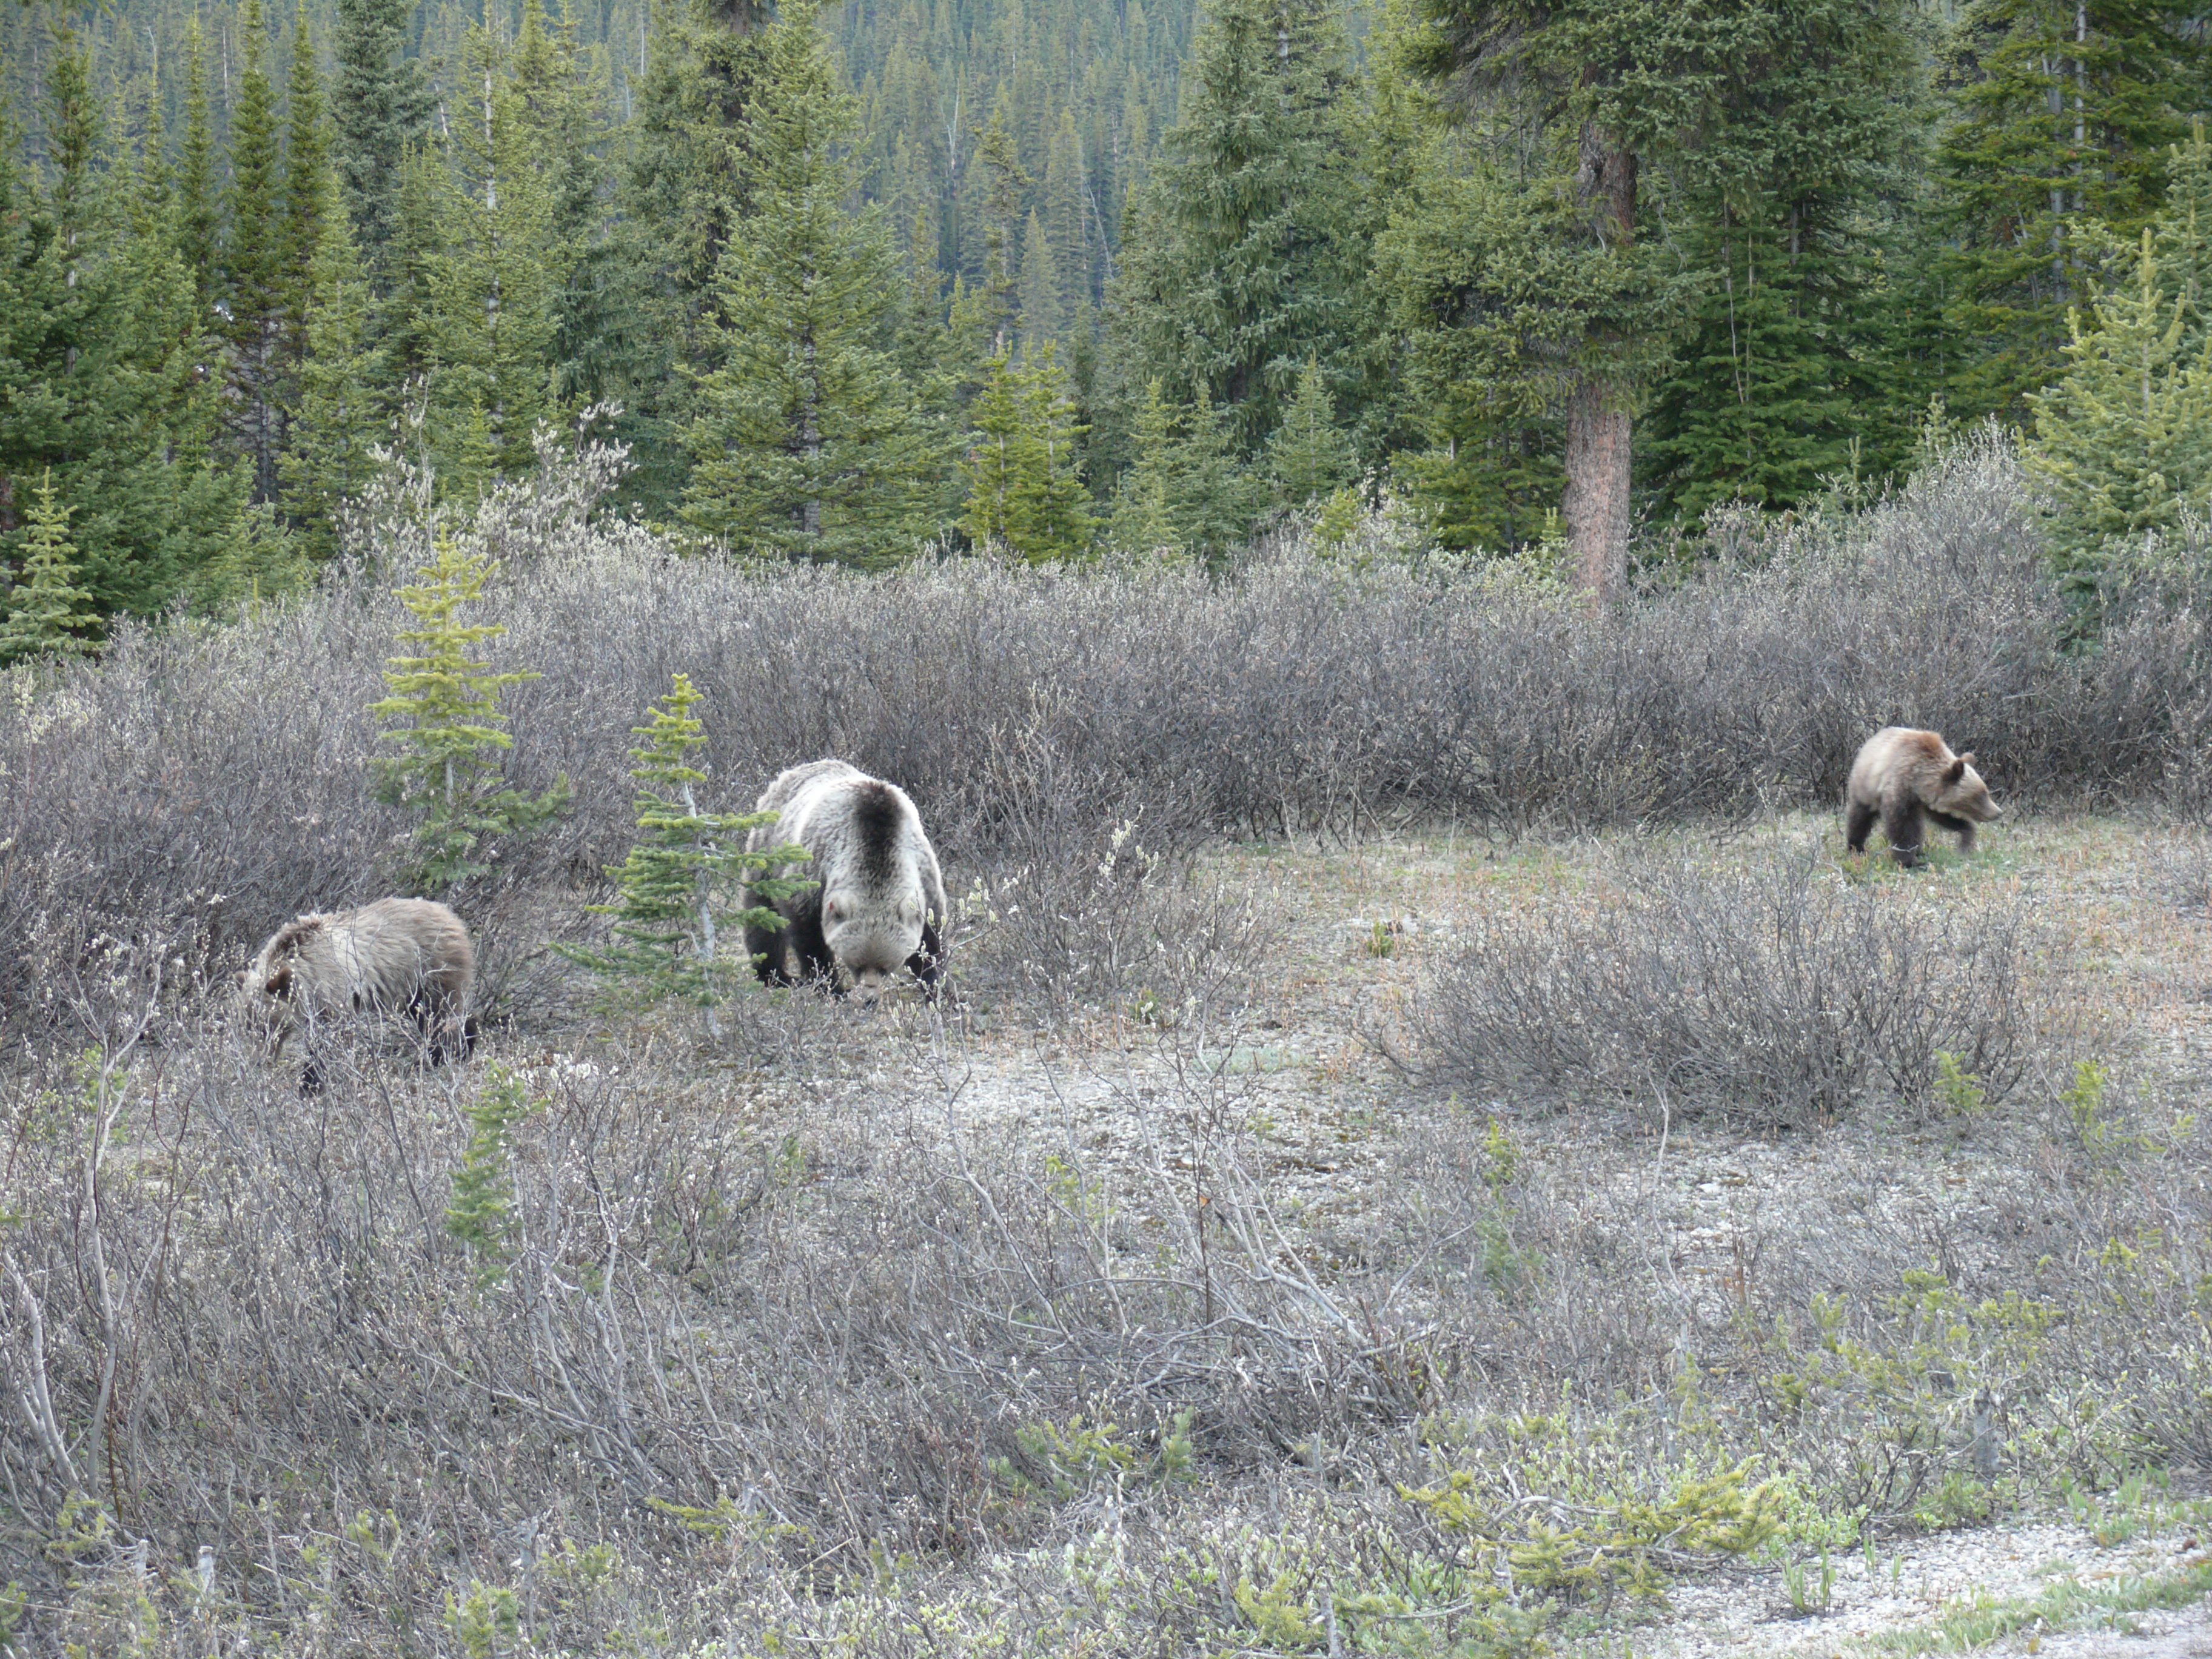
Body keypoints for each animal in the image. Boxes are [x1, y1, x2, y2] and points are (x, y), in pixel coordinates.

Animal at [240, 898, 477, 1093]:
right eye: (248, 1026)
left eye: (267, 1025)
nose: (257, 1061)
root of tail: (451, 915)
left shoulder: (331, 986)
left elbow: (332, 1038)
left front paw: (310, 1084)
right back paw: (466, 1042)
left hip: (431, 967)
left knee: (439, 1014)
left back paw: (435, 1058)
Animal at [748, 765, 947, 1008]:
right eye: (857, 964)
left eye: (885, 967)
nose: (870, 999)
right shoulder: (815, 871)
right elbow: (810, 938)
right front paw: (832, 988)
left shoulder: (924, 877)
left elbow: (931, 940)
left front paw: (938, 990)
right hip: (767, 855)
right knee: (762, 919)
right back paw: (776, 975)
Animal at [1840, 725, 1999, 871]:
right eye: (1980, 795)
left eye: (1986, 791)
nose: (1998, 812)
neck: (1917, 780)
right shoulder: (1899, 789)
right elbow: (1901, 827)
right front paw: (1909, 861)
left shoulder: (1930, 802)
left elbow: (1945, 818)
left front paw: (1966, 837)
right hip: (1866, 787)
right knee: (1860, 817)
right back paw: (1856, 847)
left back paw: (1920, 851)